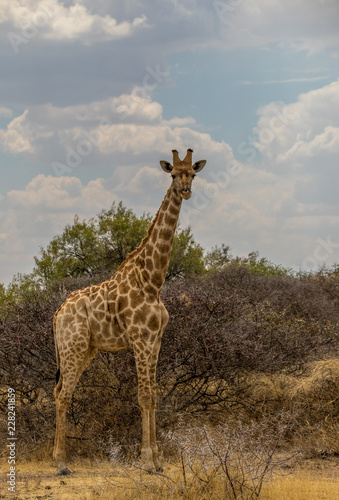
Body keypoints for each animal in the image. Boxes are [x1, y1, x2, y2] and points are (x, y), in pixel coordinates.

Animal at [53, 147, 207, 472]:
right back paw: (60, 462)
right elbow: (144, 396)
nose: (186, 190)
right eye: (173, 174)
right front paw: (147, 459)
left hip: (86, 349)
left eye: (193, 173)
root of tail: (57, 314)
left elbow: (154, 396)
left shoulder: (156, 340)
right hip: (73, 346)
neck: (152, 280)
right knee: (64, 393)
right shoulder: (140, 339)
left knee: (60, 390)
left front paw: (157, 459)